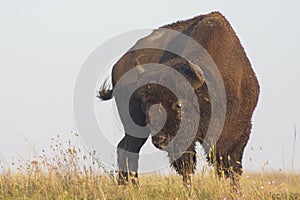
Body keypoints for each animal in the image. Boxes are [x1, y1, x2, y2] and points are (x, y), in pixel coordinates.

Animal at [97, 11, 258, 186]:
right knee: (129, 150)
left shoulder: (238, 132)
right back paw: (131, 185)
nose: (160, 140)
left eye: (179, 104)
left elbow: (231, 167)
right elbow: (187, 168)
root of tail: (117, 66)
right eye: (147, 106)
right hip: (134, 126)